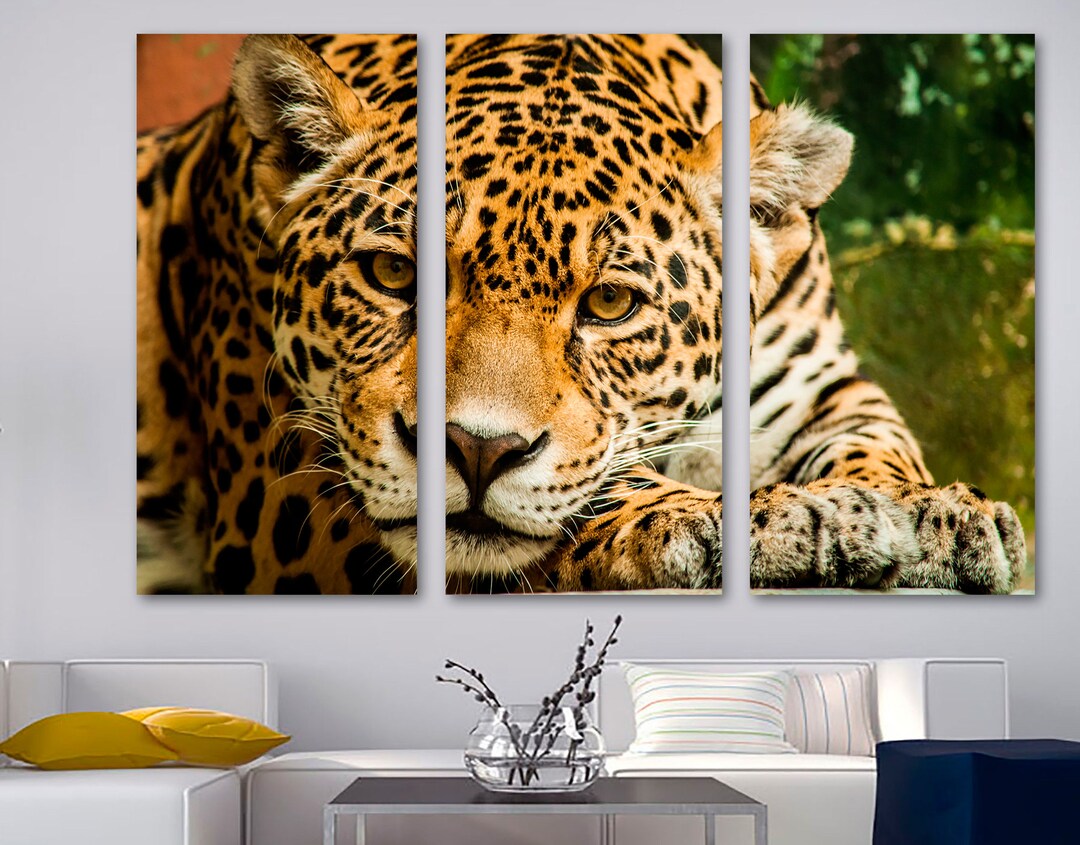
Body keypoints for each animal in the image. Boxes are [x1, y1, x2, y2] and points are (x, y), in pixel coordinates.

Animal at [443, 34, 1026, 593]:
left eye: (610, 303)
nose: (480, 451)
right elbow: (613, 488)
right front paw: (782, 521)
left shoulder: (814, 385)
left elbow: (878, 446)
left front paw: (934, 515)